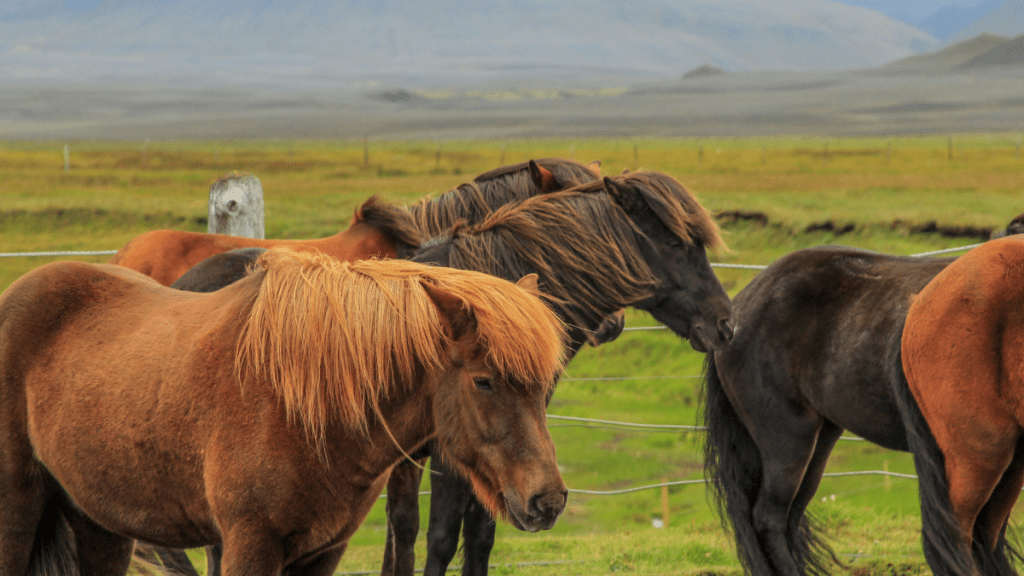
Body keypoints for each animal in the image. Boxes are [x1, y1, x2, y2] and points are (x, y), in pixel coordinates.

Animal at [0, 249, 569, 576]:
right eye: (484, 380)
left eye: (545, 386)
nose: (548, 500)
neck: (303, 411)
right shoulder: (250, 544)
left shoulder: (321, 554)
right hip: (19, 508)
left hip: (98, 522)